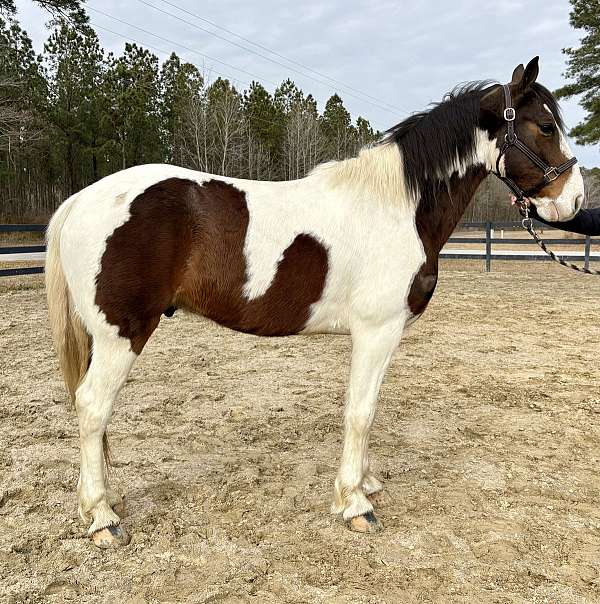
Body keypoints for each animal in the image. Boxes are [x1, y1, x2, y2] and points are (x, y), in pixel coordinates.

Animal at [45, 57, 580, 548]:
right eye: (545, 126)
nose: (572, 203)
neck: (397, 206)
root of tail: (79, 201)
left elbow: (368, 407)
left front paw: (366, 483)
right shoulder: (377, 330)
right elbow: (360, 411)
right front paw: (355, 504)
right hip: (121, 334)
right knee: (92, 407)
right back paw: (102, 518)